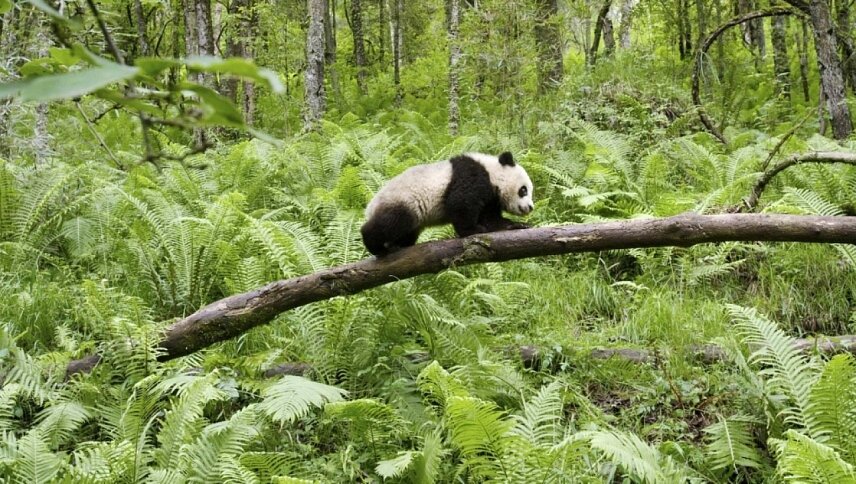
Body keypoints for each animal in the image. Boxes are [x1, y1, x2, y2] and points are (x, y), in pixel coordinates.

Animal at [362, 152, 536, 258]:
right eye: (523, 190)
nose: (530, 207)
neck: (491, 172)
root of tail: (371, 207)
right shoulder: (471, 176)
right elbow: (460, 203)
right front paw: (473, 230)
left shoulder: (491, 199)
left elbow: (492, 219)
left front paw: (517, 225)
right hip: (404, 201)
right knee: (391, 223)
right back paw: (376, 246)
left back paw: (397, 246)